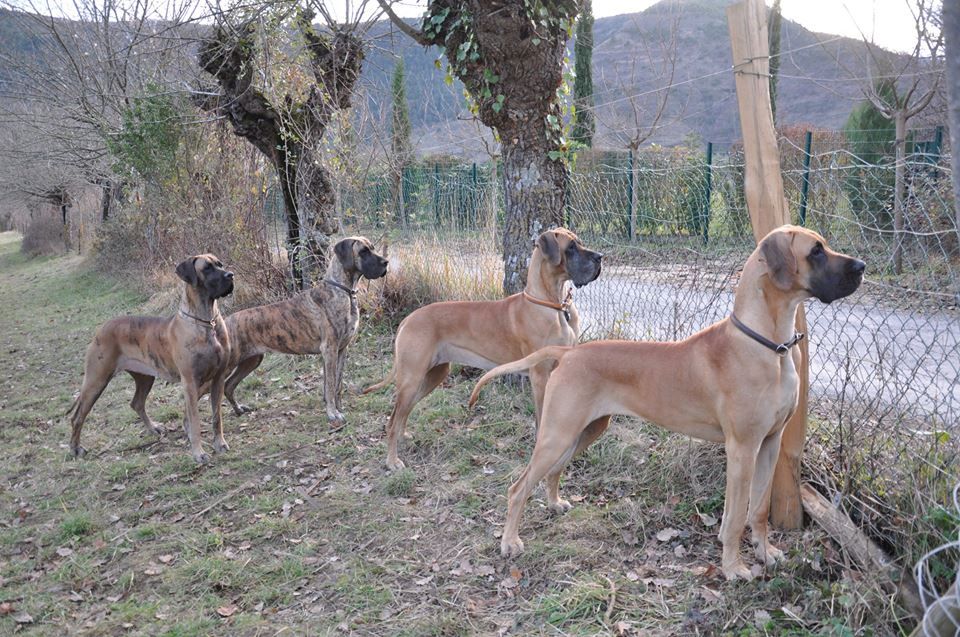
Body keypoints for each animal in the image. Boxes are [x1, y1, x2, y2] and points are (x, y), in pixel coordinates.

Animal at [364, 227, 604, 468]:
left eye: (579, 242)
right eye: (570, 247)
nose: (600, 257)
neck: (555, 305)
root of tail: (409, 318)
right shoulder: (540, 375)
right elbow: (541, 419)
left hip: (433, 375)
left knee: (402, 413)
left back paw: (404, 436)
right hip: (411, 378)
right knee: (393, 420)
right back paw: (392, 460)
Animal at [468, 226, 868, 580]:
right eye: (816, 251)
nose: (862, 266)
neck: (770, 345)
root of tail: (567, 353)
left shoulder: (768, 445)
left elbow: (756, 510)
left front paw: (764, 552)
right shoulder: (742, 449)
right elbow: (737, 515)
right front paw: (734, 568)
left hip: (584, 431)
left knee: (553, 472)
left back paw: (553, 503)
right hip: (557, 433)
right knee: (518, 488)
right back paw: (509, 542)